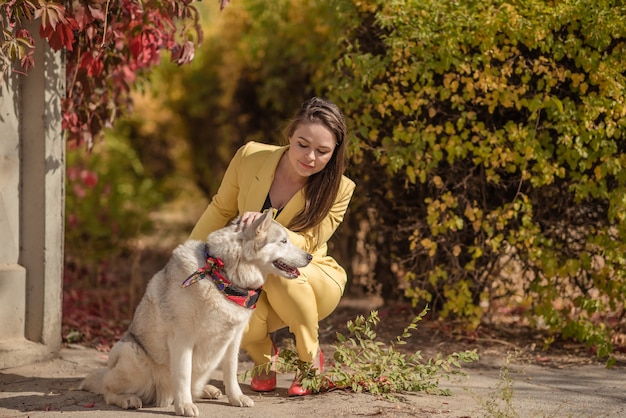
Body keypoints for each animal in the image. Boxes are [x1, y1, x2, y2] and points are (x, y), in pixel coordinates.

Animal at [78, 211, 312, 416]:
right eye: (283, 241)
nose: (310, 256)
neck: (221, 276)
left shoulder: (233, 341)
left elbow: (230, 373)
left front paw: (235, 398)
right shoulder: (182, 340)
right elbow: (183, 374)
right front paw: (184, 407)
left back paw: (207, 390)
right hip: (132, 356)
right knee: (109, 390)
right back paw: (129, 399)